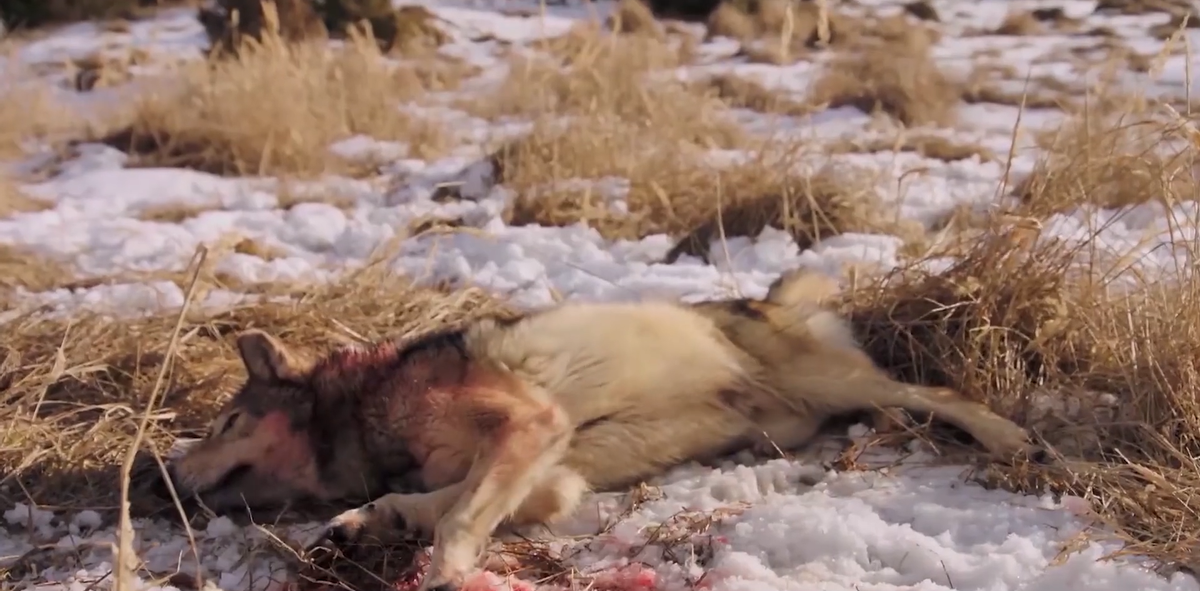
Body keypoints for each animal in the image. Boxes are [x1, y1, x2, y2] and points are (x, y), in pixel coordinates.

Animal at [164, 269, 1036, 591]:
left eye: (227, 421)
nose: (160, 475)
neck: (364, 411)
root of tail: (767, 298)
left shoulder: (528, 424)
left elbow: (455, 518)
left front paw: (445, 571)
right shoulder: (550, 471)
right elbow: (437, 503)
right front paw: (364, 522)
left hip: (834, 380)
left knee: (935, 390)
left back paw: (1009, 441)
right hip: (795, 417)